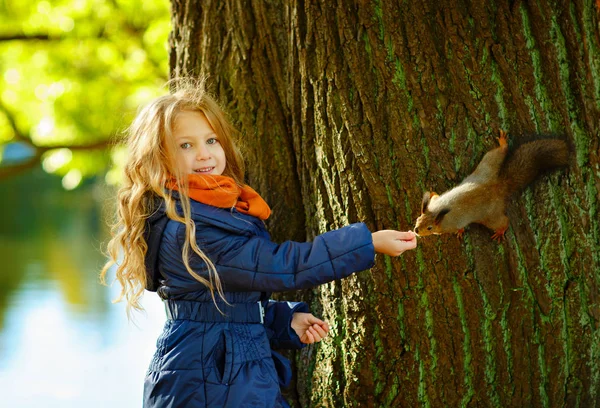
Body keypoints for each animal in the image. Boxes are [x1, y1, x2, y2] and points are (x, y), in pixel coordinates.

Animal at [414, 129, 568, 241]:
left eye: (429, 228)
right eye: (418, 219)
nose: (416, 230)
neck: (437, 211)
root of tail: (498, 187)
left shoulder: (450, 224)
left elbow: (457, 228)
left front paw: (458, 232)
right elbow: (434, 195)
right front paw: (432, 191)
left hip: (490, 215)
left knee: (503, 221)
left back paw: (500, 231)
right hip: (488, 164)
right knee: (500, 152)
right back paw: (502, 143)